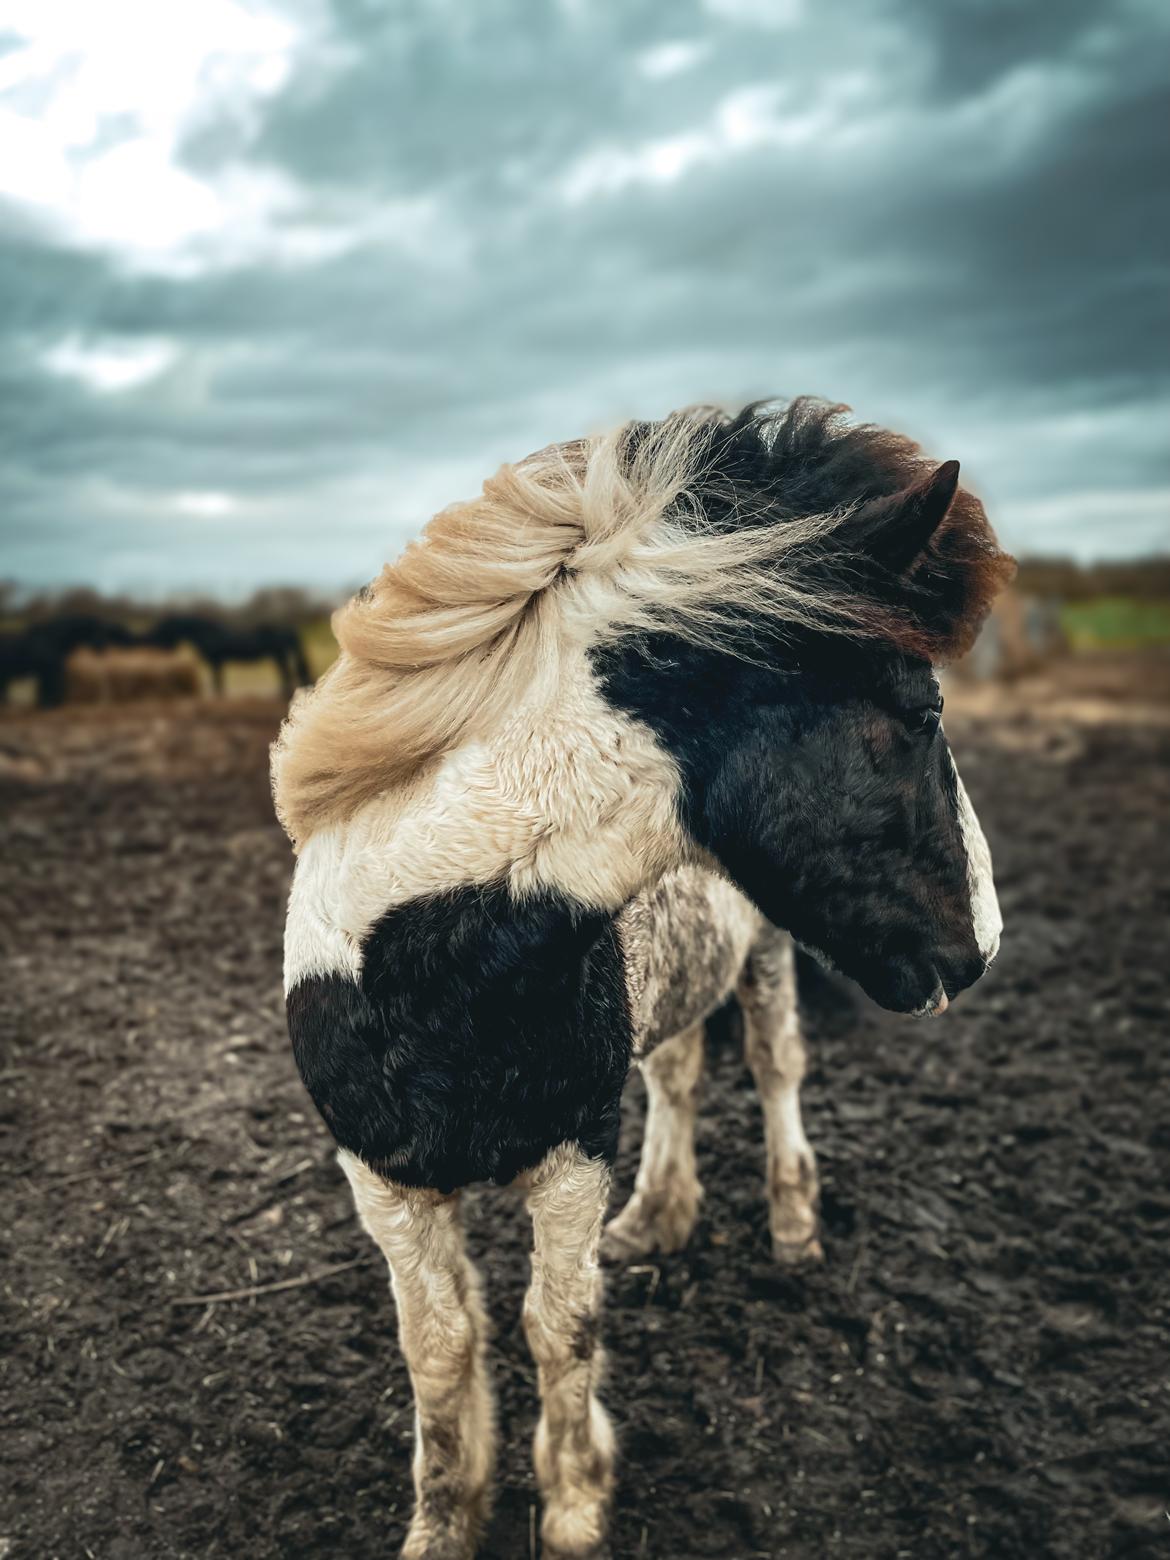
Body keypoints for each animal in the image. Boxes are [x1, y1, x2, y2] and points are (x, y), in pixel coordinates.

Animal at [269, 399, 1010, 1560]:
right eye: (922, 713)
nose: (983, 943)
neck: (429, 972)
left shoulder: (574, 1153)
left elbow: (559, 1325)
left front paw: (575, 1506)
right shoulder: (383, 1178)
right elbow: (438, 1345)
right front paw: (444, 1521)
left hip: (766, 959)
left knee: (774, 1067)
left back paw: (793, 1226)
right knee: (680, 1074)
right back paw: (660, 1213)